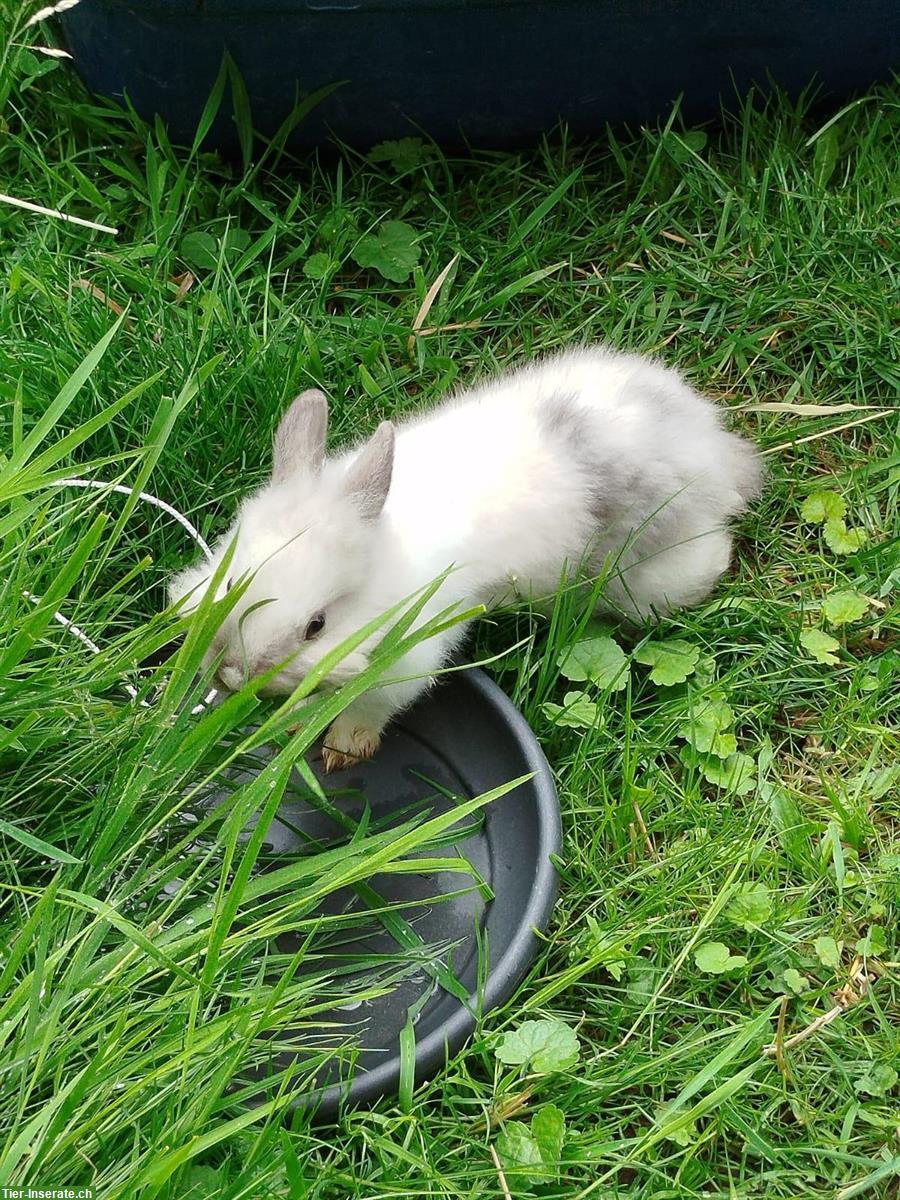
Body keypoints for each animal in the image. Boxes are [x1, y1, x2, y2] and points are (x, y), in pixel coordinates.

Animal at [168, 348, 763, 772]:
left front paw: (342, 750)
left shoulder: (406, 661)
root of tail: (715, 448)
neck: (388, 563)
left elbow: (367, 709)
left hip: (658, 578)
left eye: (316, 625)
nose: (232, 673)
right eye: (228, 585)